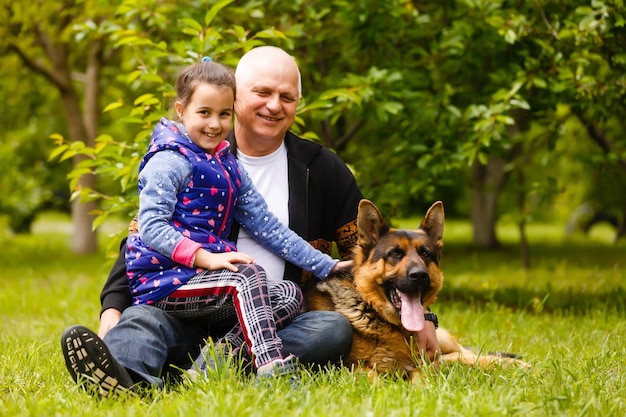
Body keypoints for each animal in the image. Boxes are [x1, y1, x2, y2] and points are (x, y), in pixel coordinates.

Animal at [302, 198, 528, 376]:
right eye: (395, 253)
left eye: (425, 254)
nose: (419, 275)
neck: (381, 318)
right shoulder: (351, 369)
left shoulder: (422, 363)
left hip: (442, 342)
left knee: (470, 353)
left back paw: (516, 364)